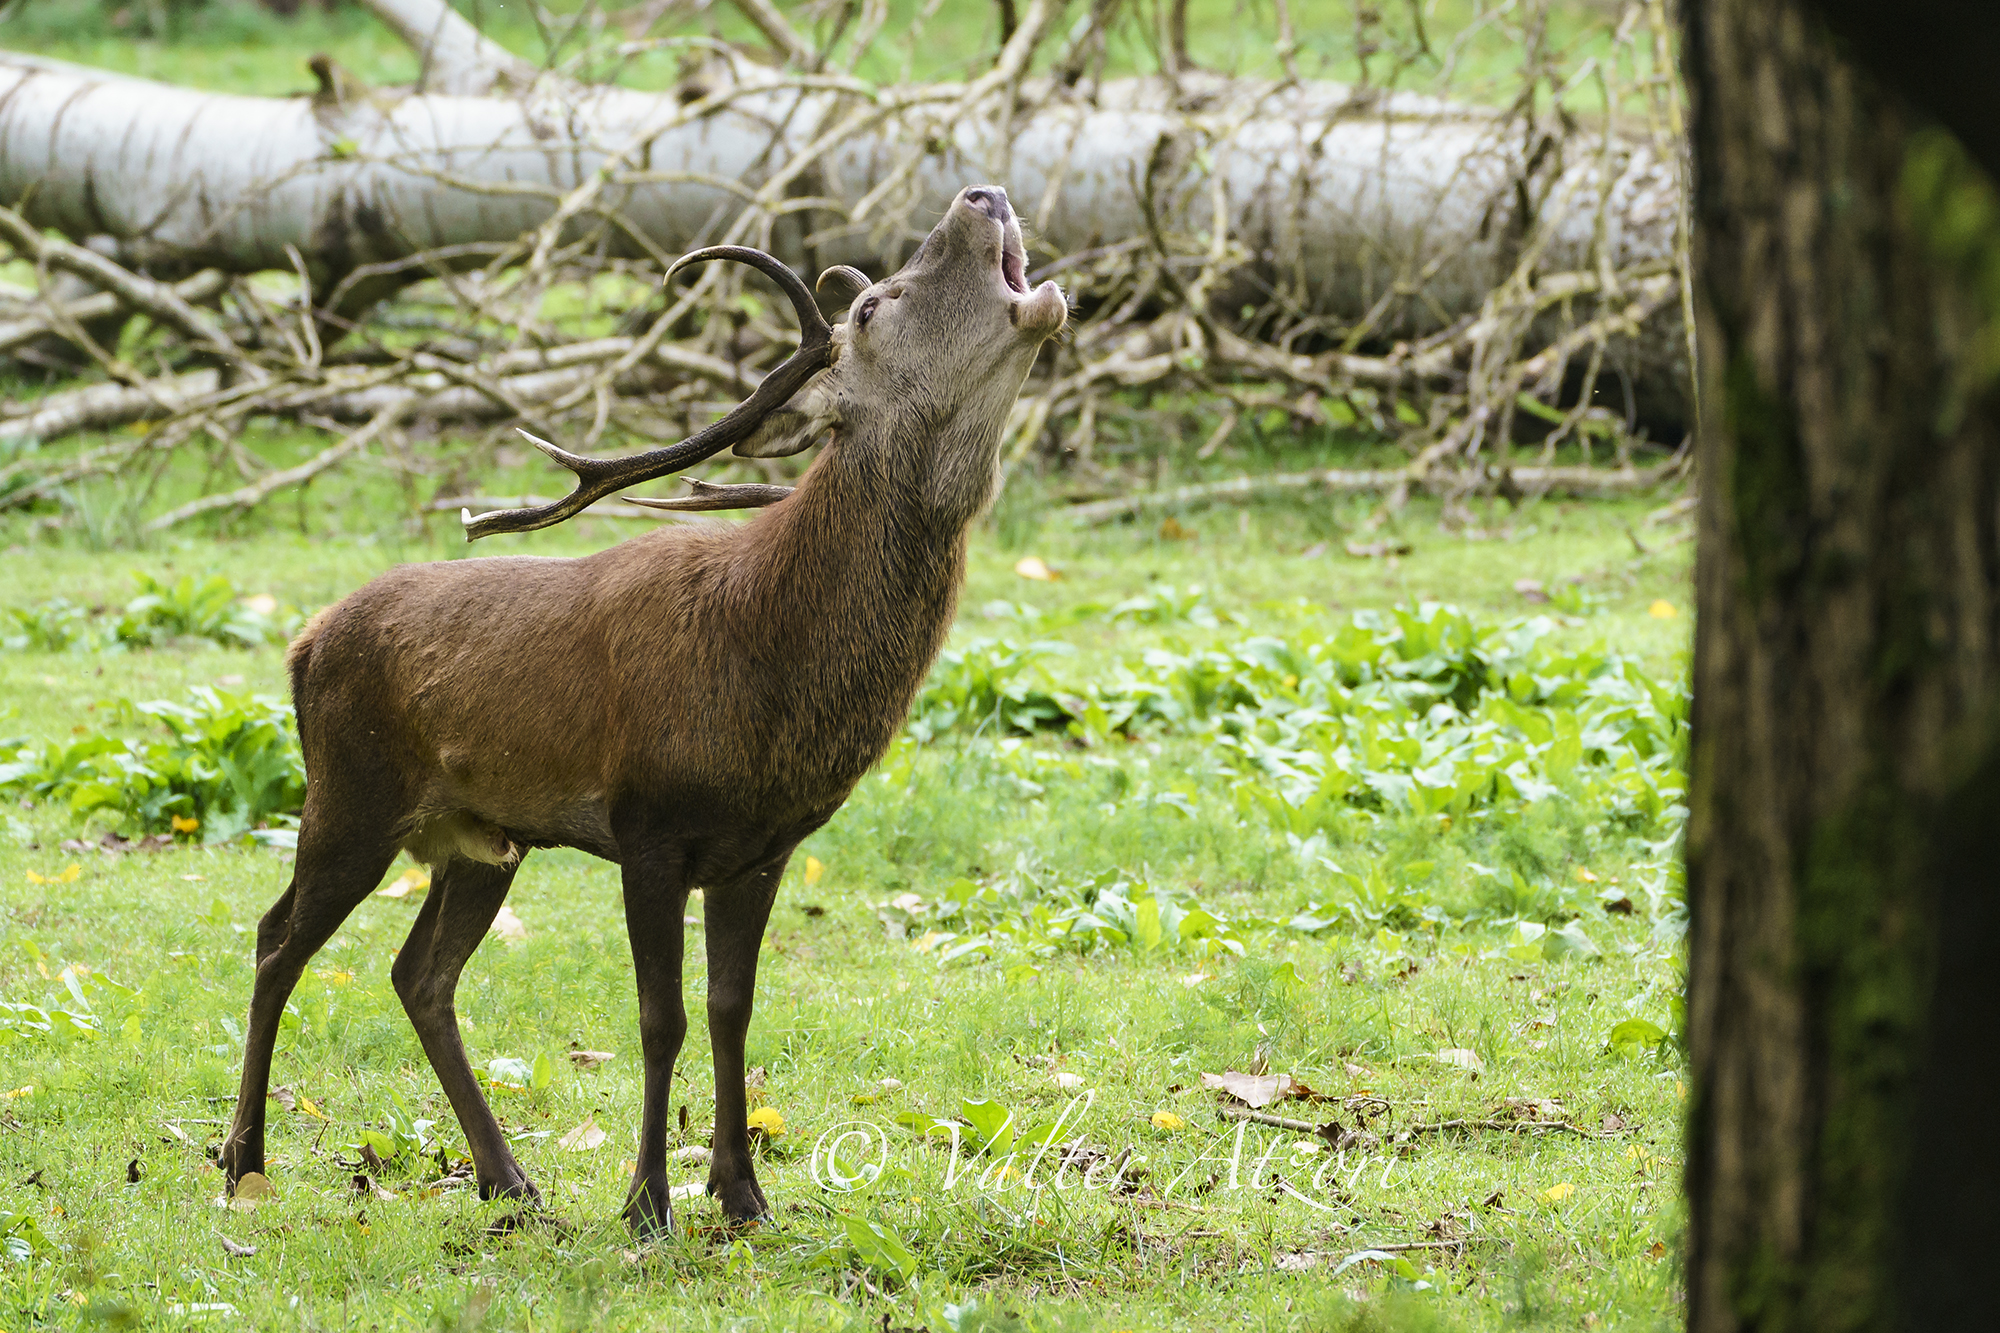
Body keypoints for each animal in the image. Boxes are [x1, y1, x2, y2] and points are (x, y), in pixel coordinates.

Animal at [217, 185, 1068, 1234]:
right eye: (873, 308)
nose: (981, 195)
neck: (767, 664)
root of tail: (302, 642)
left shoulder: (761, 848)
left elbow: (732, 1008)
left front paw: (742, 1194)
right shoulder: (648, 828)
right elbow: (661, 1017)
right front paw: (648, 1201)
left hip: (482, 840)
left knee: (420, 973)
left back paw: (511, 1179)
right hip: (349, 795)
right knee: (276, 939)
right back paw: (244, 1161)